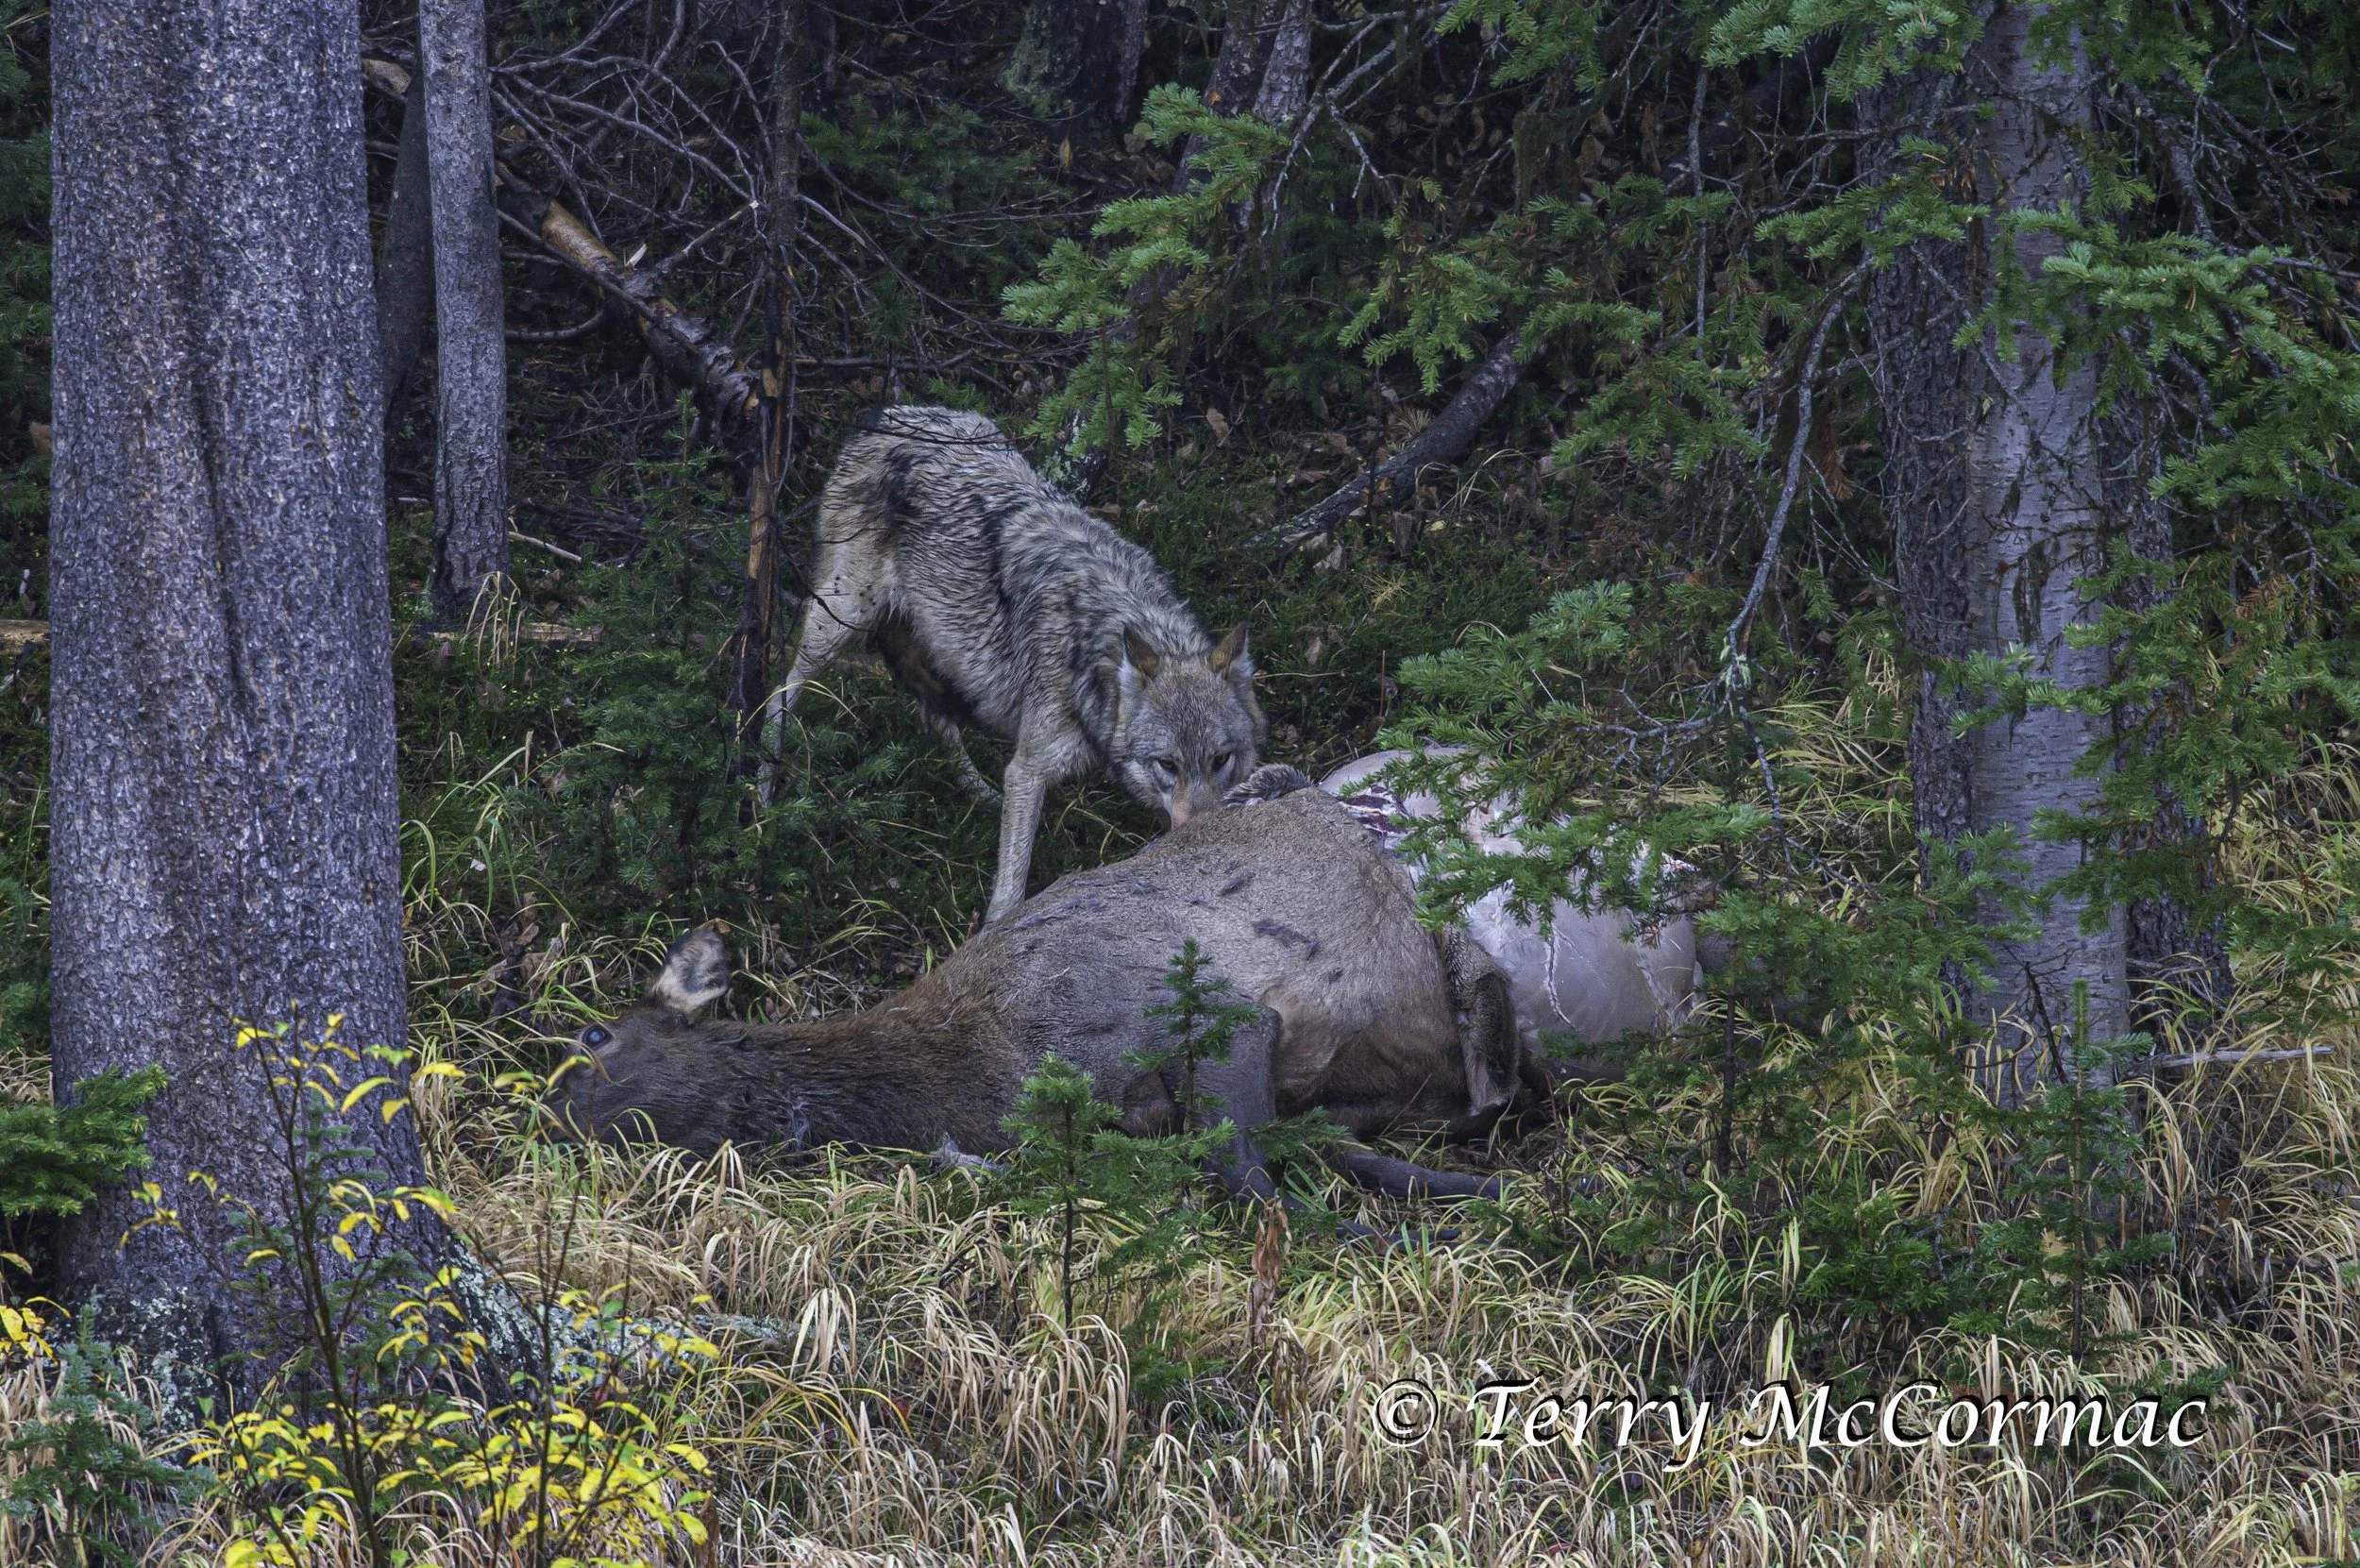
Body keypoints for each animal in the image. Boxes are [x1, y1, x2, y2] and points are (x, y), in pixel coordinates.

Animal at [551, 767, 1532, 1204]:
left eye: (593, 1036)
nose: (541, 1115)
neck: (973, 1075)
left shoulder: (1218, 1021)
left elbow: (1254, 1187)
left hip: (1466, 985)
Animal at [772, 406, 1265, 923]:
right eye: (1167, 763)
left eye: (1221, 760)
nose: (1201, 835)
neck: (1097, 644)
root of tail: (885, 414)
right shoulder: (1030, 768)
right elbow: (1011, 887)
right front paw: (996, 931)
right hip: (840, 619)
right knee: (785, 684)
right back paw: (768, 779)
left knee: (934, 717)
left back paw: (981, 793)